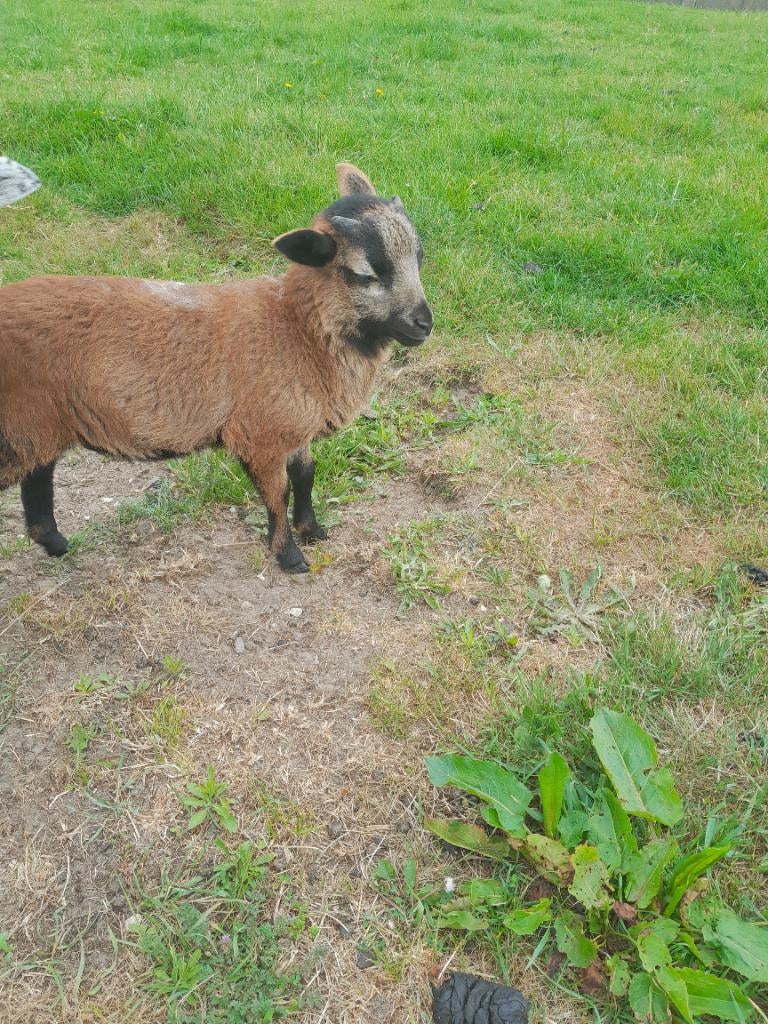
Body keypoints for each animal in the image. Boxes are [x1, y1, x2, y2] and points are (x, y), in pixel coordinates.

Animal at [0, 163, 433, 572]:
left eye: (419, 256)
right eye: (364, 274)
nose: (424, 324)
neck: (297, 329)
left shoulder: (295, 424)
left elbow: (306, 477)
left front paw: (313, 531)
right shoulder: (262, 432)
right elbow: (278, 494)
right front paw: (289, 557)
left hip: (38, 425)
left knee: (37, 483)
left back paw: (56, 544)